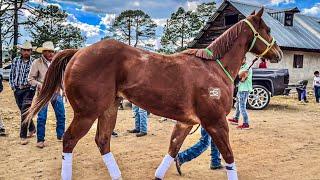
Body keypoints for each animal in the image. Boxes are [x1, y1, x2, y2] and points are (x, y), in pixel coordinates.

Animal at [26, 8, 282, 180]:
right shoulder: (216, 122)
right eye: (268, 29)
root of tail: (79, 52)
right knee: (69, 141)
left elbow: (173, 149)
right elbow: (229, 157)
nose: (278, 53)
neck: (214, 68)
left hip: (108, 109)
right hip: (87, 113)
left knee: (103, 141)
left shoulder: (186, 122)